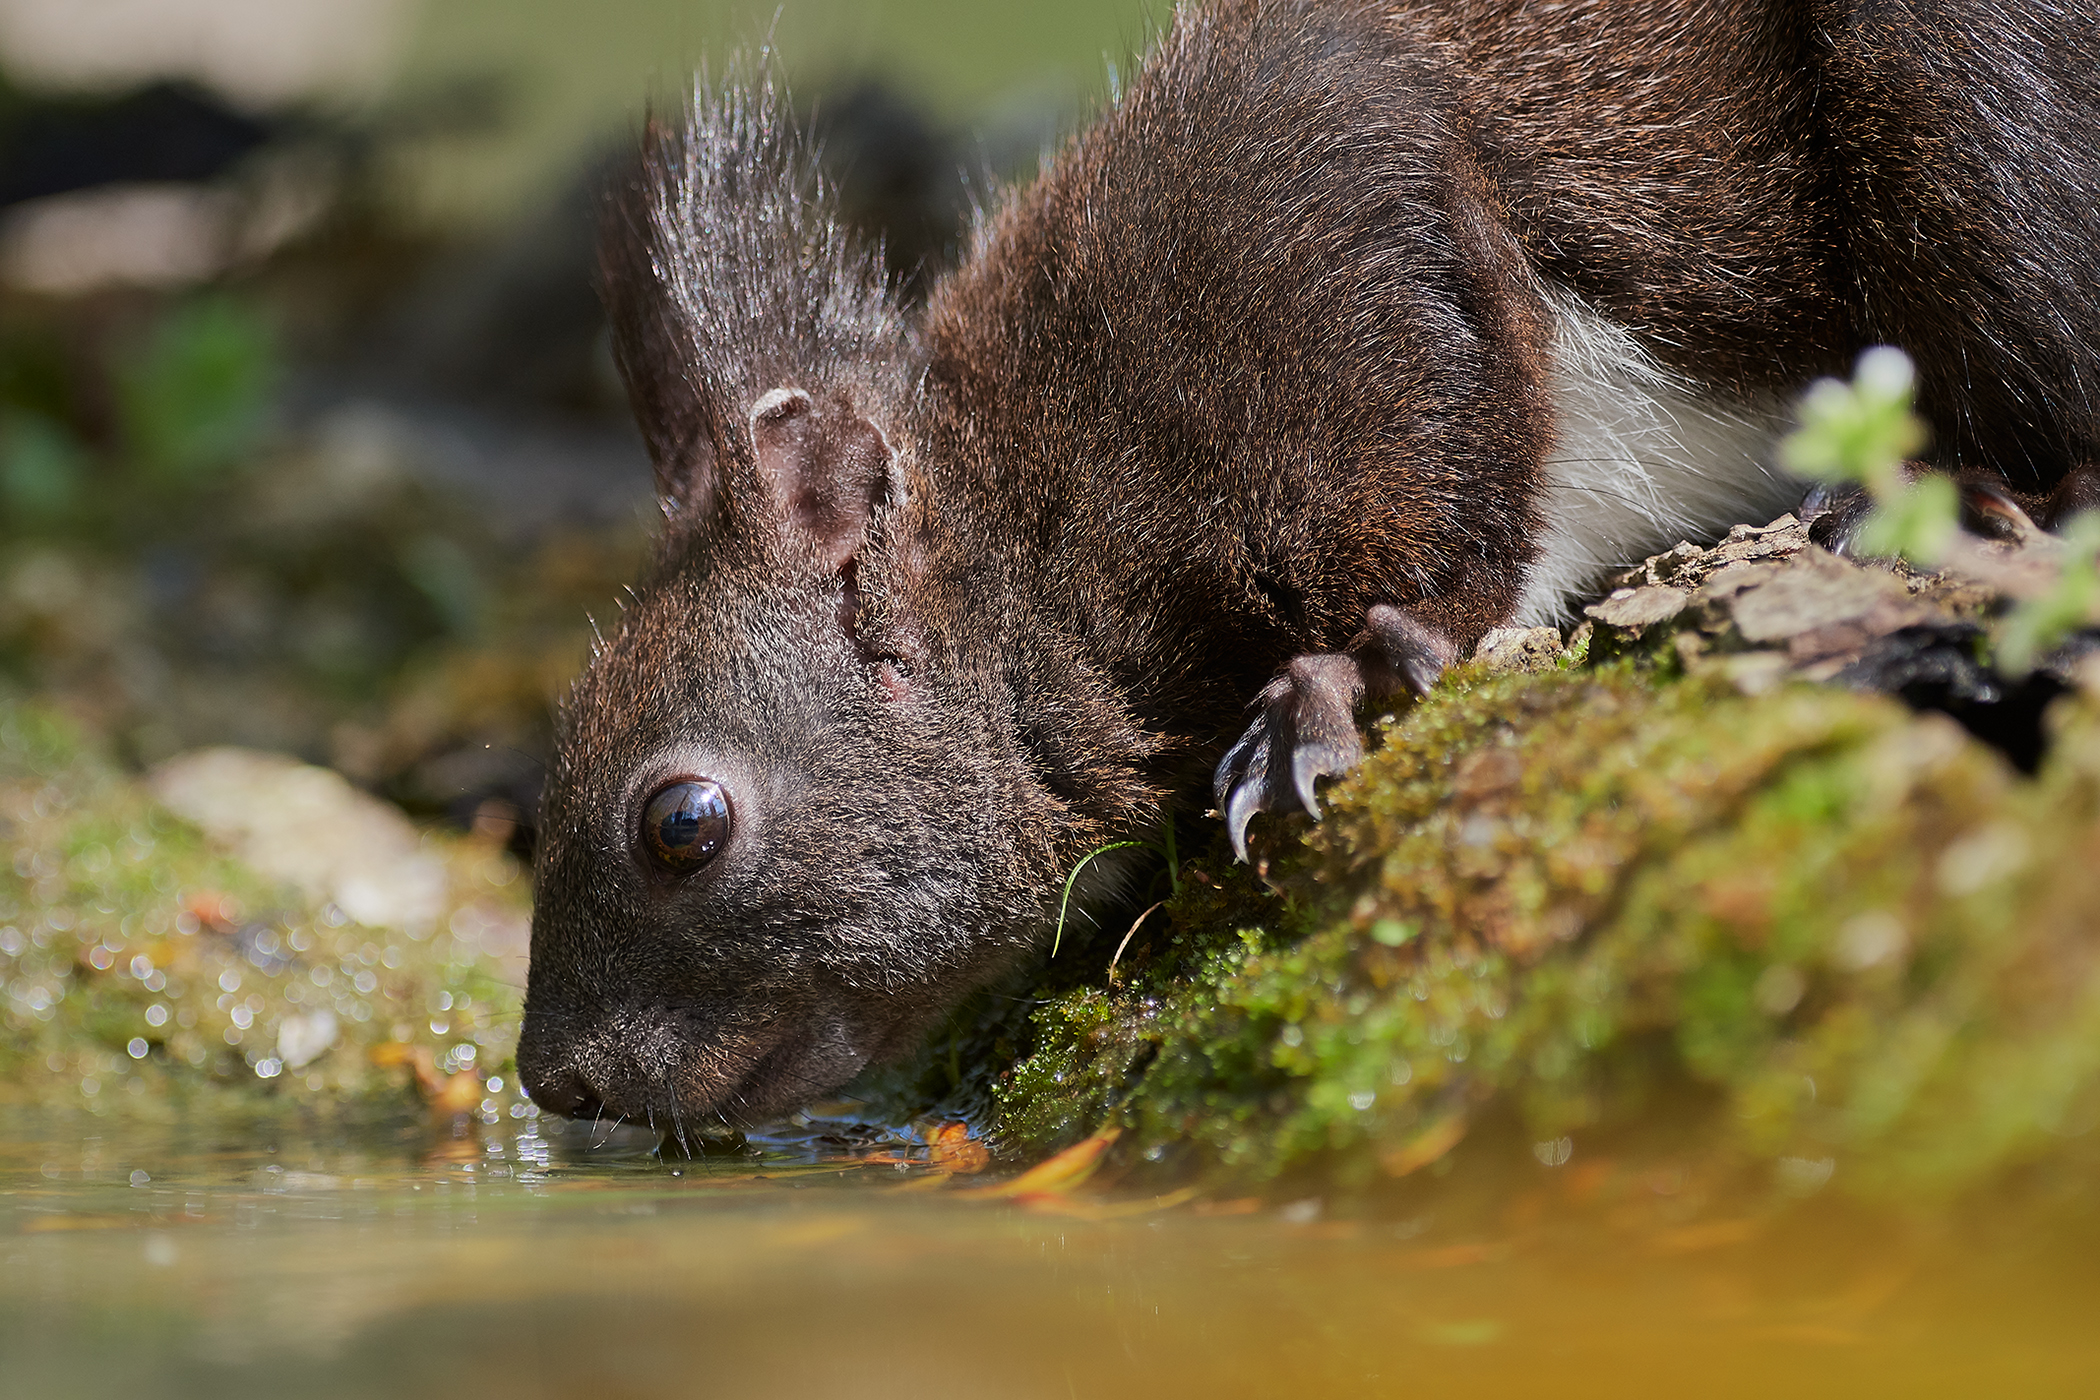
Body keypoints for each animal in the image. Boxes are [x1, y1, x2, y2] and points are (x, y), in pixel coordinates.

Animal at [518, 0, 2100, 1133]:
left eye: (682, 823)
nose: (555, 1083)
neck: (1042, 515)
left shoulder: (1322, 196)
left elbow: (1473, 461)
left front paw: (1345, 683)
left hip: (1966, 113)